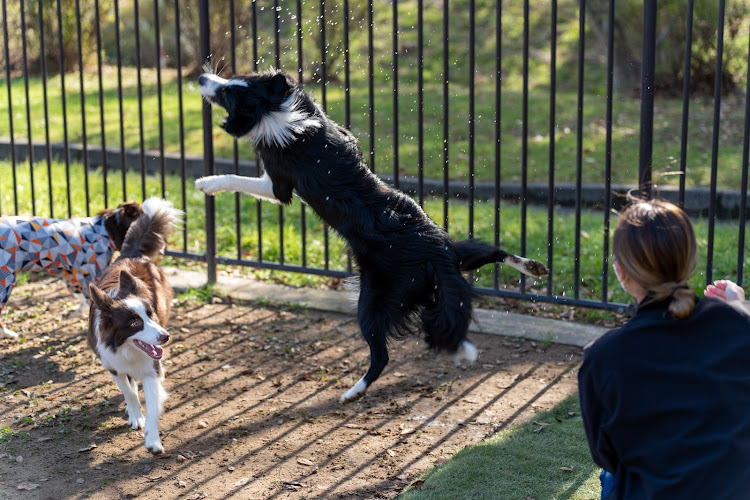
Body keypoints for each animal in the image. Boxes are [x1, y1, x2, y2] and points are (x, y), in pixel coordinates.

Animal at [0, 200, 144, 340]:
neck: (108, 231)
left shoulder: (71, 276)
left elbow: (82, 301)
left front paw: (71, 313)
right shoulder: (91, 273)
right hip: (6, 280)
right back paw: (7, 333)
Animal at [86, 197, 181, 456]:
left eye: (150, 315)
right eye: (134, 323)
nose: (165, 337)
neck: (128, 349)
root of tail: (131, 254)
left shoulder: (152, 368)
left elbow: (153, 402)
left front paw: (153, 439)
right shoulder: (112, 364)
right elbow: (129, 392)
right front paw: (136, 414)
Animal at [194, 70, 548, 404]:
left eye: (226, 93)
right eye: (233, 79)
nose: (200, 77)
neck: (274, 110)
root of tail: (438, 254)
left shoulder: (277, 184)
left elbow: (239, 179)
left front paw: (207, 182)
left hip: (373, 300)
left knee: (381, 355)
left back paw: (352, 392)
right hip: (461, 253)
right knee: (495, 252)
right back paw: (532, 267)